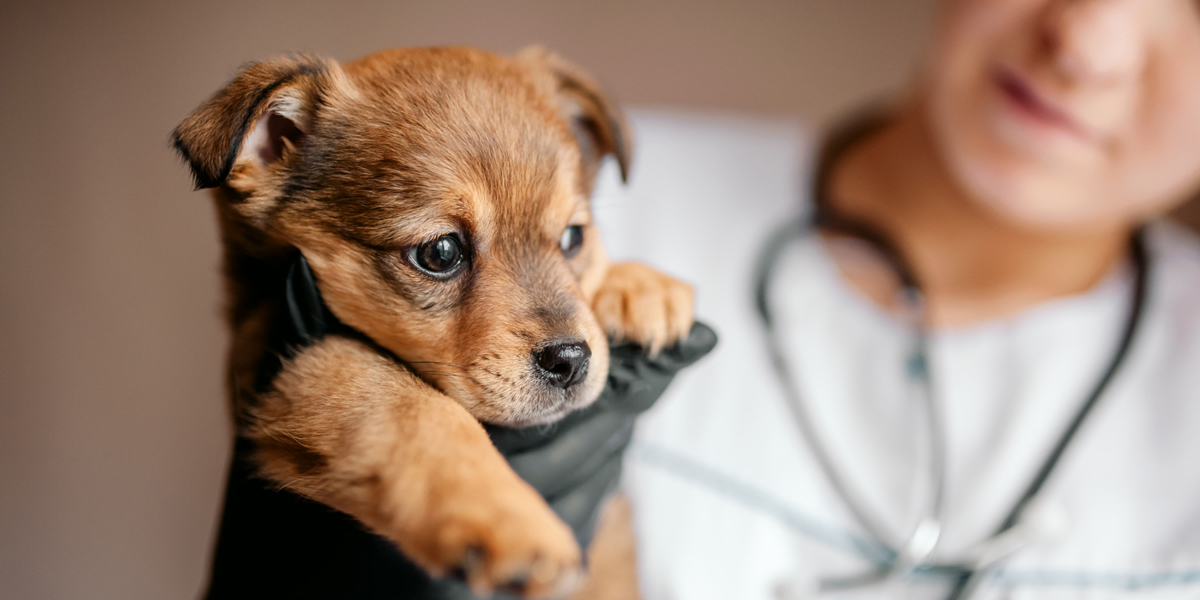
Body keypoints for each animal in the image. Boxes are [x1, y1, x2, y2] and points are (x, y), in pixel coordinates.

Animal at [174, 44, 691, 597]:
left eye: (574, 237)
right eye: (440, 252)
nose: (572, 359)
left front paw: (641, 288)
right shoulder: (296, 362)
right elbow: (418, 411)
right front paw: (509, 520)